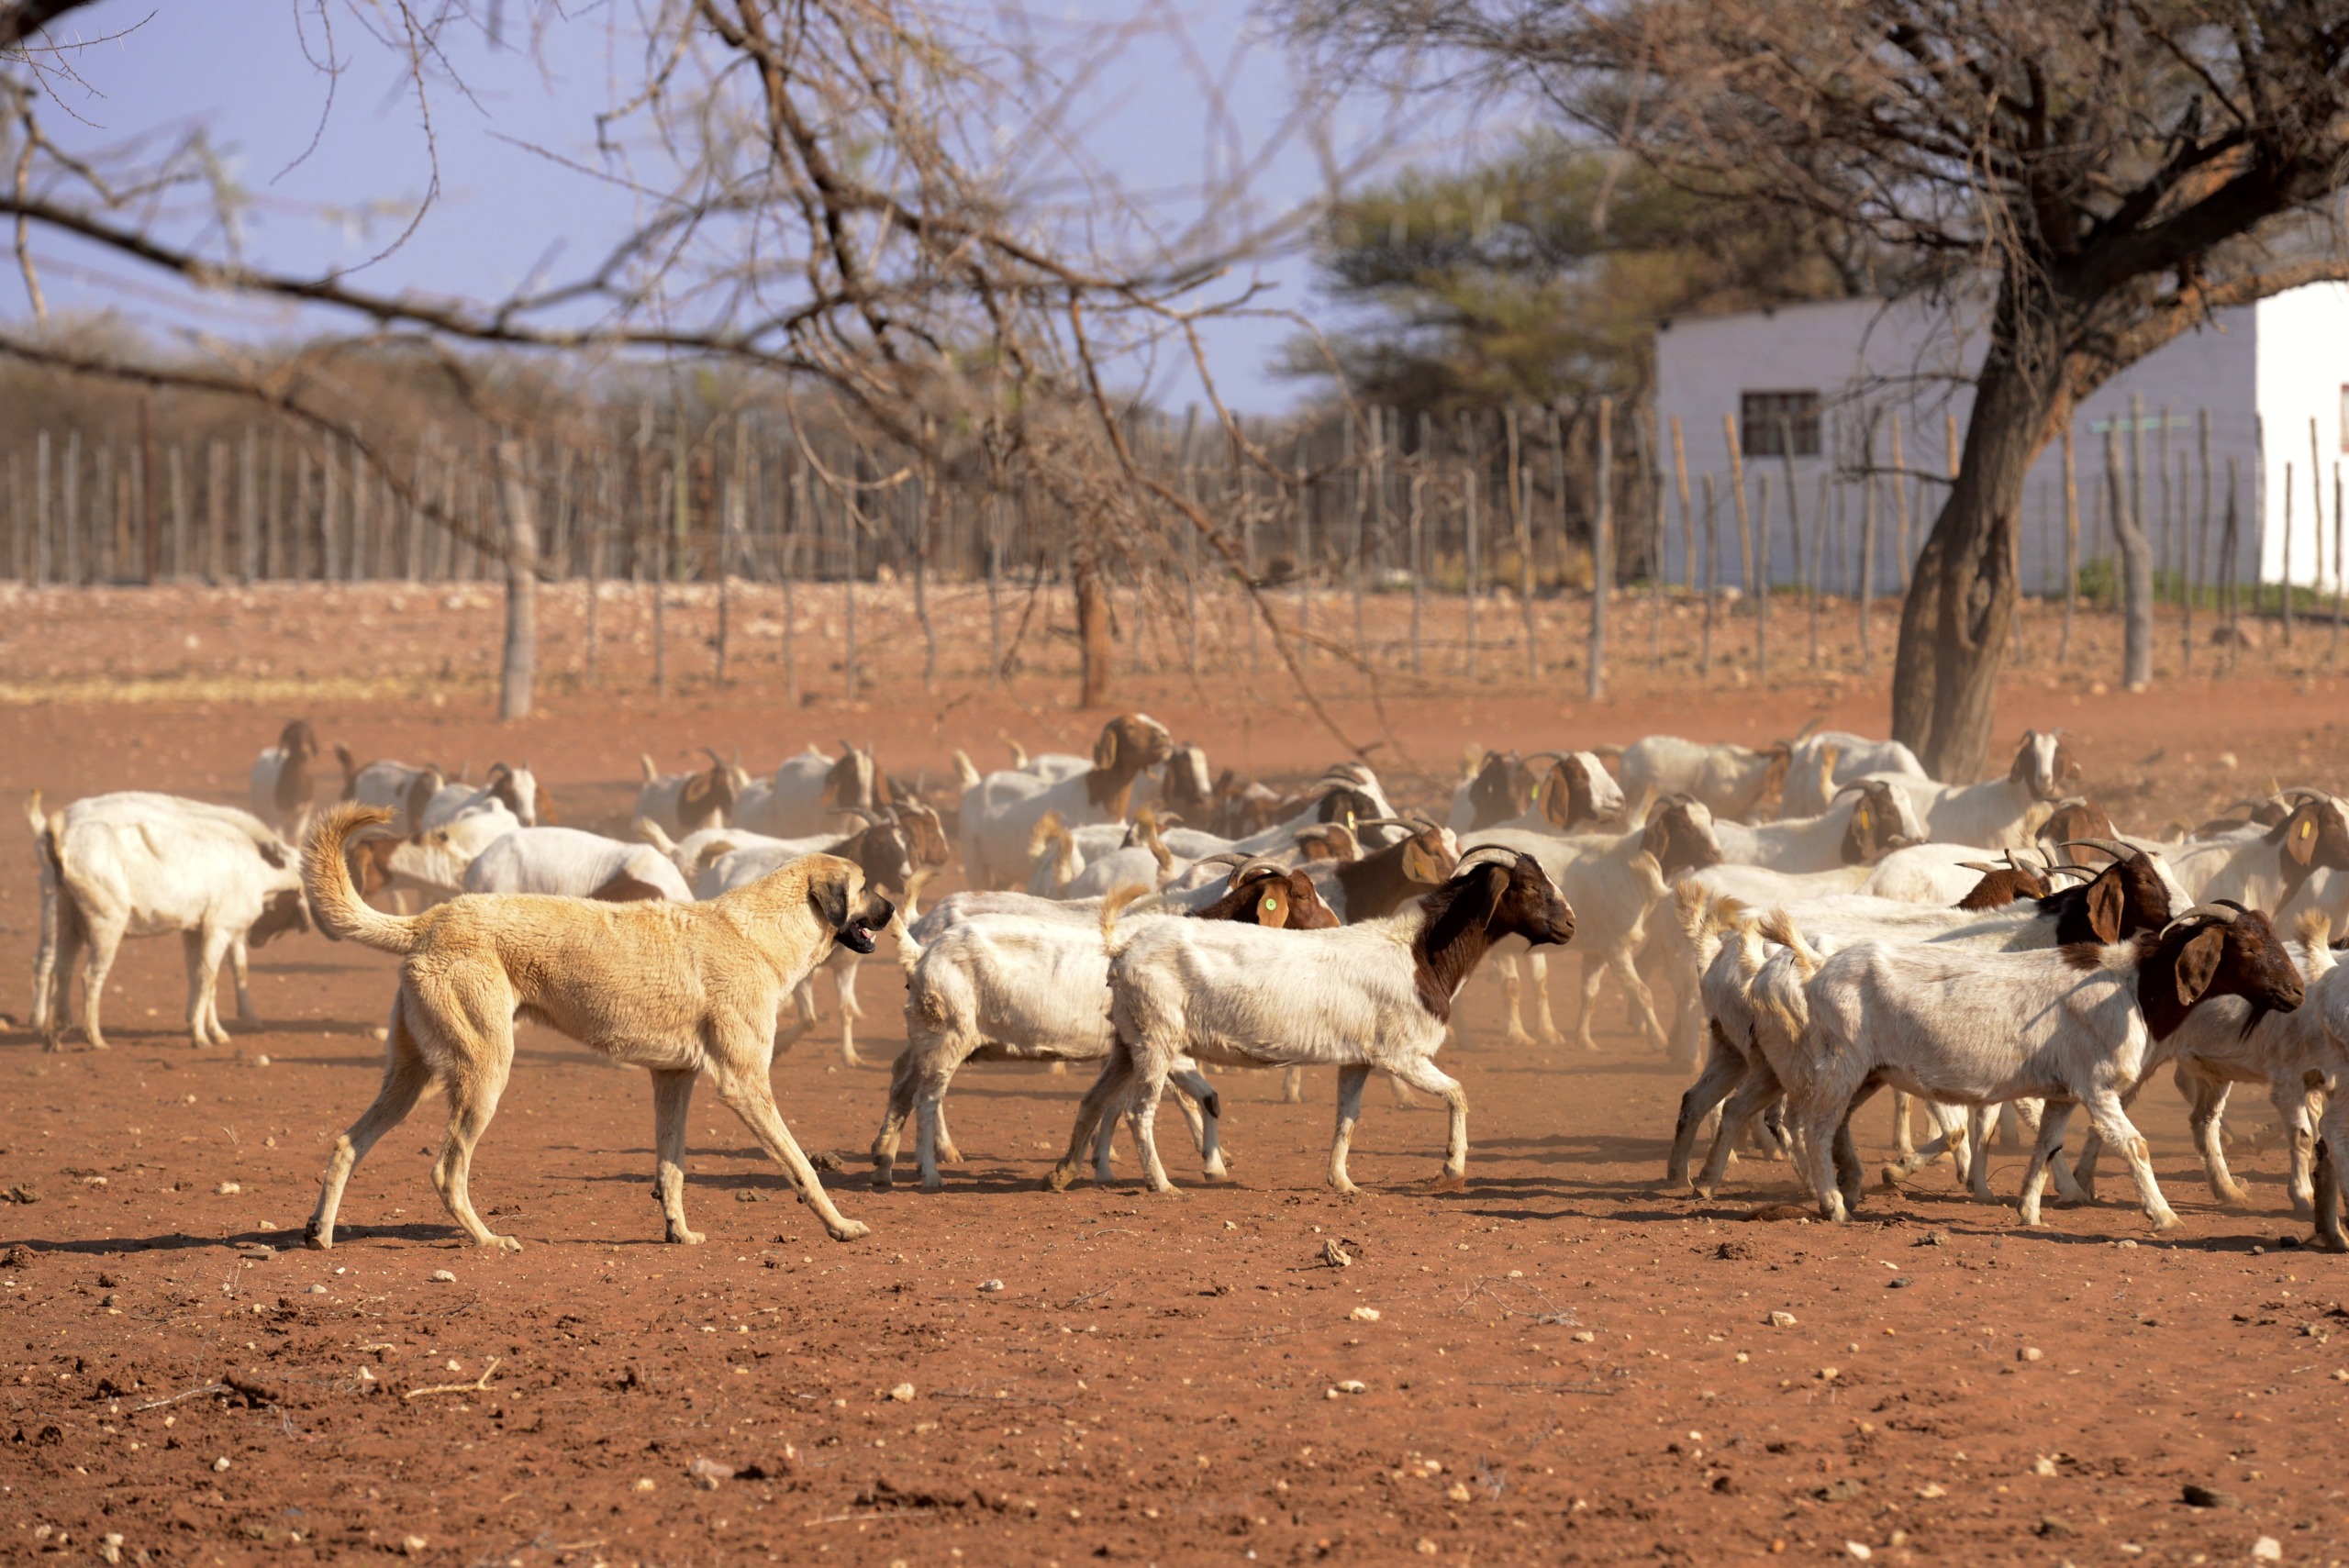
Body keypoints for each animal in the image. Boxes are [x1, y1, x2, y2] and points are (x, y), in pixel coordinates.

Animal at [303, 807, 887, 1249]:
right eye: (864, 887)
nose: (894, 908)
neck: (760, 934)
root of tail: (431, 919)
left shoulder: (673, 1080)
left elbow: (672, 1167)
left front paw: (678, 1232)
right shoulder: (744, 1085)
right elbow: (801, 1165)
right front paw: (841, 1225)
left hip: (413, 1078)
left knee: (347, 1143)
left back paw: (320, 1233)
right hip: (482, 1075)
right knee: (447, 1172)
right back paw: (488, 1240)